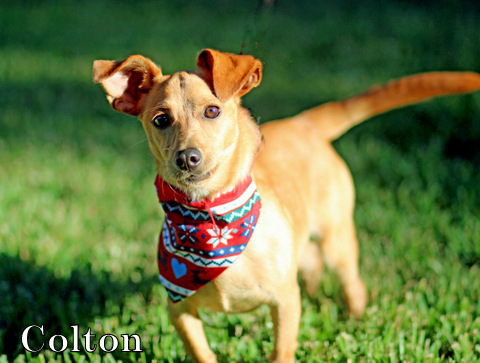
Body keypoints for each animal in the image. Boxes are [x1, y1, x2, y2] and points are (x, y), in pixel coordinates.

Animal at [94, 49, 480, 363]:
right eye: (160, 120)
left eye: (212, 111)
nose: (187, 158)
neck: (210, 219)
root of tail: (303, 122)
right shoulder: (180, 312)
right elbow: (203, 354)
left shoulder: (284, 301)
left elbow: (281, 351)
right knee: (312, 268)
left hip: (337, 241)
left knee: (352, 284)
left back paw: (356, 320)